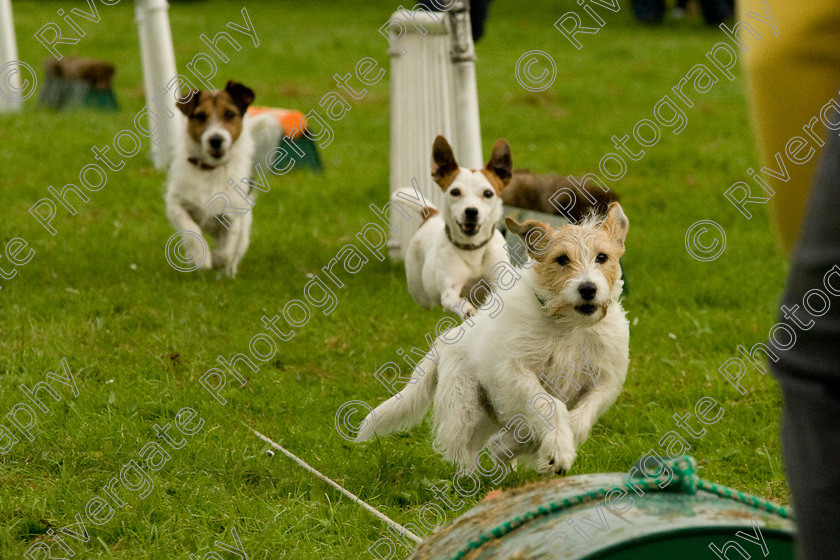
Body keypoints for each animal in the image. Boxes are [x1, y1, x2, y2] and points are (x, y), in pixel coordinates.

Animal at [356, 203, 632, 474]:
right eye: (562, 259)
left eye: (602, 257)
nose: (588, 289)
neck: (569, 325)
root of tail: (446, 340)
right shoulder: (516, 372)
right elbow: (549, 404)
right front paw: (559, 448)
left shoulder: (606, 381)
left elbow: (586, 412)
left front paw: (564, 441)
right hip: (468, 406)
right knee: (465, 448)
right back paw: (472, 478)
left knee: (503, 441)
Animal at [394, 135, 512, 318]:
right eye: (455, 192)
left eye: (488, 193)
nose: (471, 211)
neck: (472, 250)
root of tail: (431, 215)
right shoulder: (449, 291)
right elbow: (458, 302)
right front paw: (469, 311)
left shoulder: (499, 280)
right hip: (420, 293)